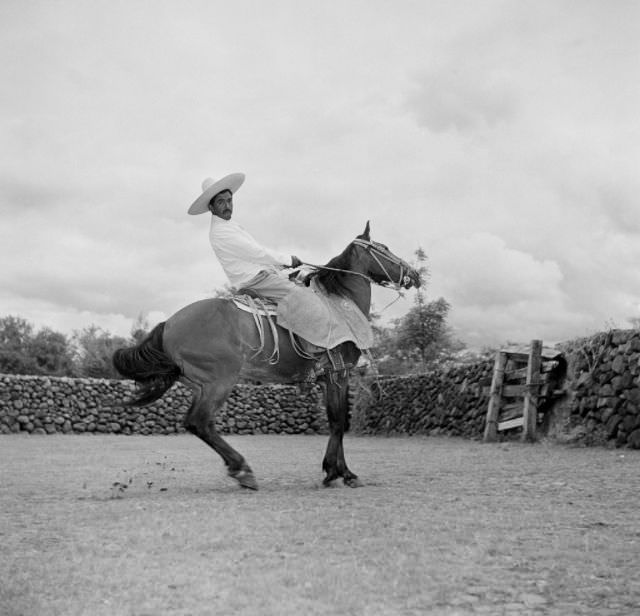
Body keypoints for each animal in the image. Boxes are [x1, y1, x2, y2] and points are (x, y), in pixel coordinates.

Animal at [112, 223, 422, 490]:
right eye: (384, 248)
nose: (415, 275)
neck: (338, 303)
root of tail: (169, 324)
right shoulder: (339, 373)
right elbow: (338, 422)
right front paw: (340, 473)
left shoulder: (327, 379)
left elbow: (335, 421)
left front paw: (336, 470)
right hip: (219, 381)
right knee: (199, 422)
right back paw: (242, 470)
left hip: (200, 384)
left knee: (198, 424)